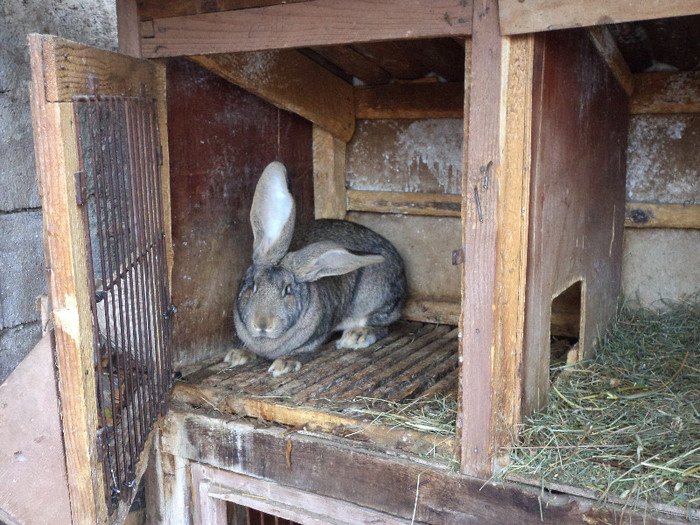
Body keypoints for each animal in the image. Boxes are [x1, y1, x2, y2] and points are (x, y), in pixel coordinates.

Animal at [227, 162, 408, 374]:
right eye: (253, 286)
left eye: (287, 290)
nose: (262, 324)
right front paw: (237, 355)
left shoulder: (316, 336)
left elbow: (306, 350)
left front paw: (284, 364)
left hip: (377, 303)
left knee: (382, 326)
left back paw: (356, 336)